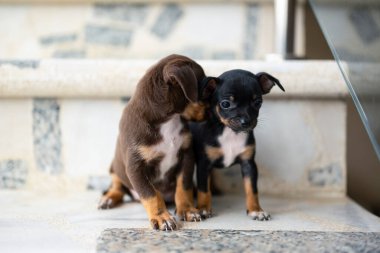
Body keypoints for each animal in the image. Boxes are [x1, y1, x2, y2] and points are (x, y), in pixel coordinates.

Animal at [98, 54, 208, 230]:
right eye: (204, 91)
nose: (213, 111)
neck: (167, 121)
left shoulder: (187, 156)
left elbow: (184, 187)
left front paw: (187, 210)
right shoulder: (135, 167)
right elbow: (151, 194)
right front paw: (161, 217)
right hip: (115, 166)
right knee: (117, 185)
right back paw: (108, 198)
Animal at [191, 70, 284, 220]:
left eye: (257, 102)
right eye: (225, 104)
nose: (246, 122)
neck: (230, 133)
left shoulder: (248, 164)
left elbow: (252, 189)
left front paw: (256, 210)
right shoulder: (204, 165)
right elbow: (203, 189)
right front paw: (203, 208)